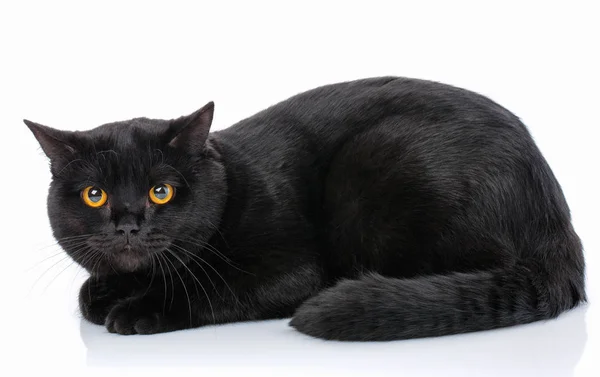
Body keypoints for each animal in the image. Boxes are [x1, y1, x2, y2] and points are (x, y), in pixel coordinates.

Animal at [25, 77, 584, 340]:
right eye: (95, 195)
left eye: (161, 191)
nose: (127, 225)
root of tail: (557, 223)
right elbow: (90, 291)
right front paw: (106, 293)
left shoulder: (291, 268)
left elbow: (211, 289)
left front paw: (140, 309)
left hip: (379, 164)